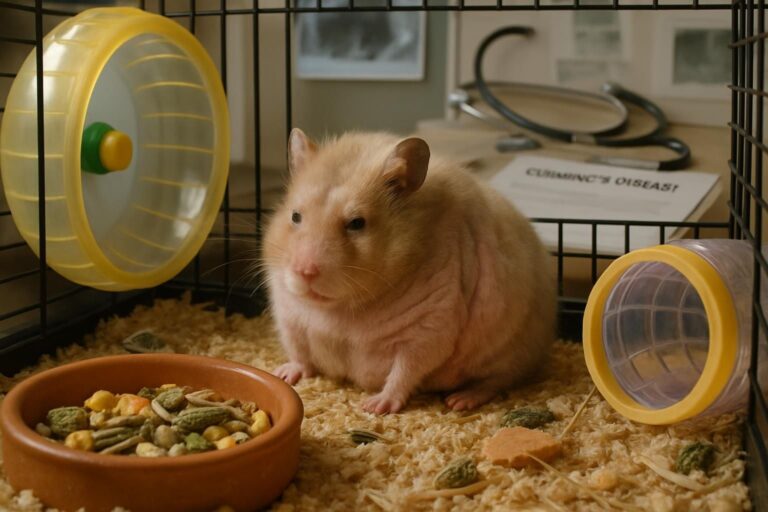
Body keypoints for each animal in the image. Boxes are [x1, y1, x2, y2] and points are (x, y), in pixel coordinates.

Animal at [262, 128, 557, 414]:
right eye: (295, 216)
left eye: (357, 223)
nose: (304, 272)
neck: (339, 309)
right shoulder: (288, 318)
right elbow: (299, 352)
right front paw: (284, 374)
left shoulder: (428, 331)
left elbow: (405, 371)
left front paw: (375, 406)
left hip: (508, 354)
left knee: (495, 381)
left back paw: (460, 400)